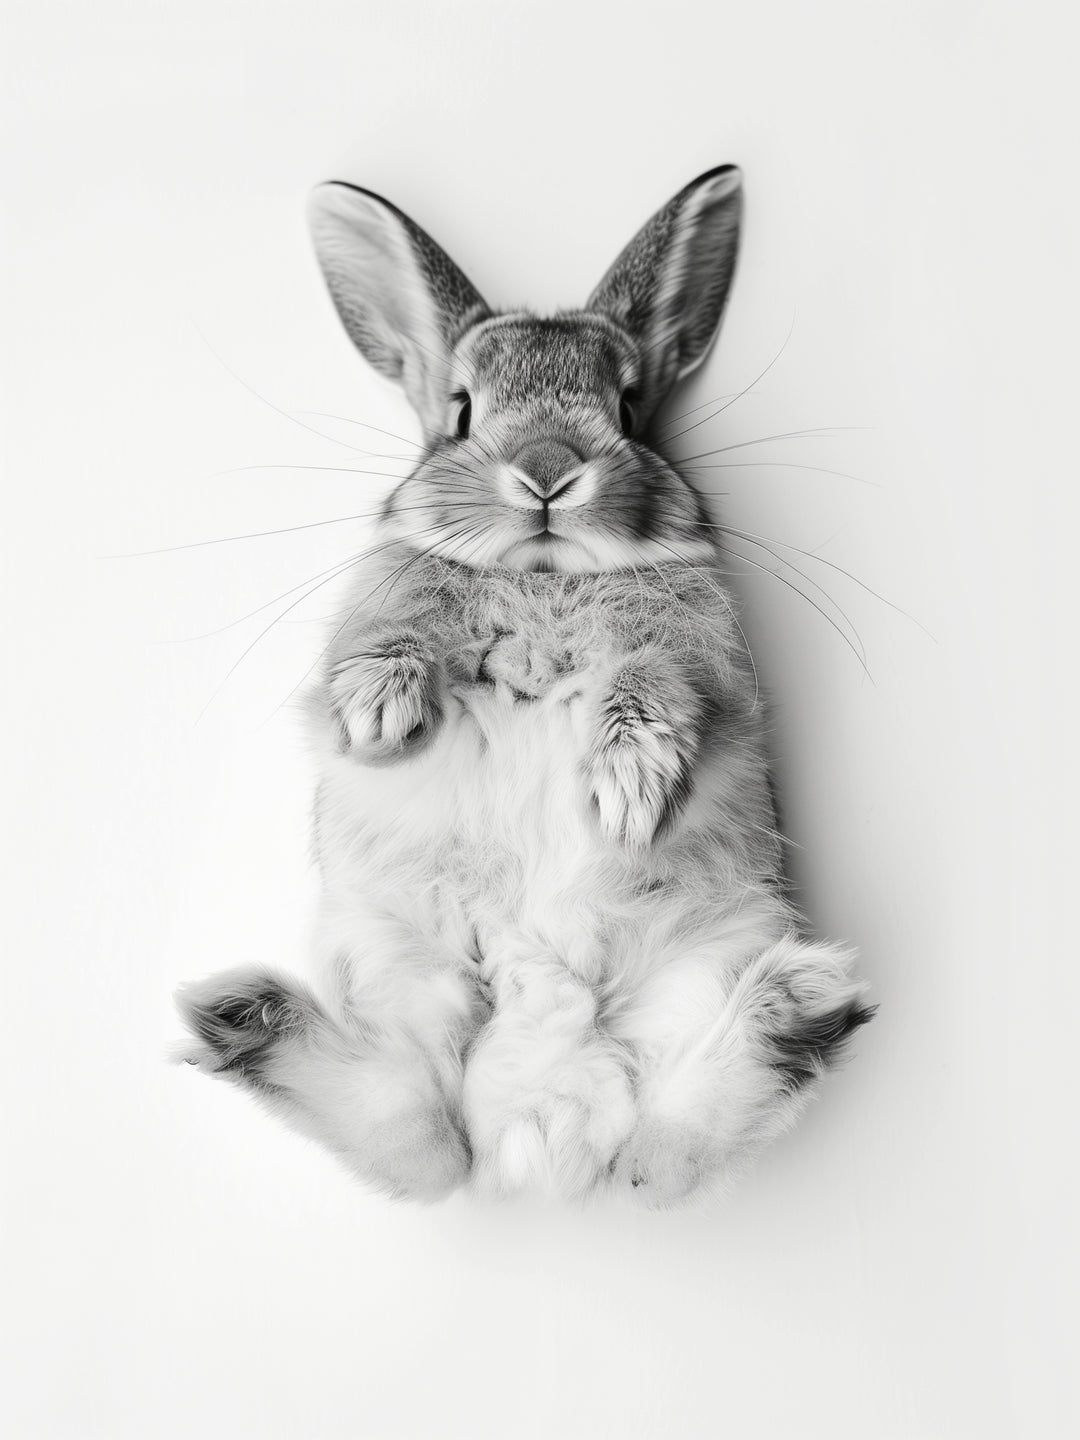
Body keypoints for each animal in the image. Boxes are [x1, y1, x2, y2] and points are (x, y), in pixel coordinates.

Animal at [176, 166, 874, 1207]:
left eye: (629, 409)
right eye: (462, 410)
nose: (547, 472)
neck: (545, 577)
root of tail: (538, 1122)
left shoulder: (701, 658)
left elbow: (658, 686)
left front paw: (627, 790)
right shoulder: (375, 610)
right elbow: (382, 645)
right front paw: (380, 715)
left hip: (701, 960)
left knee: (660, 1148)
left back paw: (798, 1004)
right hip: (397, 964)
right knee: (417, 1138)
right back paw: (240, 1014)